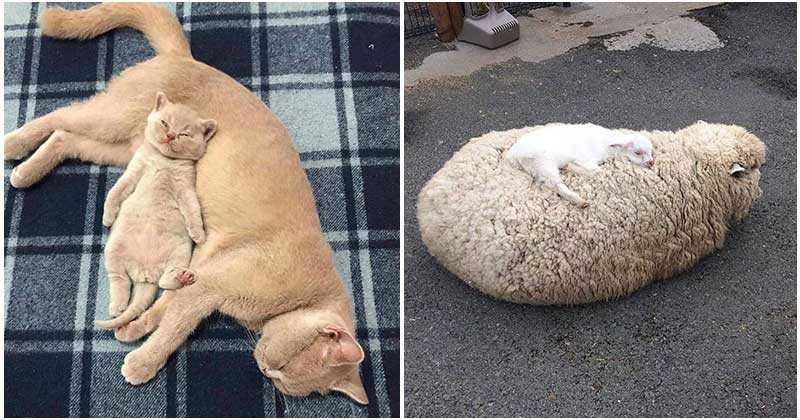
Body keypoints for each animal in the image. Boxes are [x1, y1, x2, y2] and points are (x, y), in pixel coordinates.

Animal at [506, 122, 656, 208]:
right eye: (637, 152)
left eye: (650, 151)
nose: (651, 163)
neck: (607, 143)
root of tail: (513, 156)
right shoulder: (585, 158)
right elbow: (596, 171)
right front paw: (570, 166)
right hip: (544, 162)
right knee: (557, 185)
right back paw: (580, 201)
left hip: (538, 167)